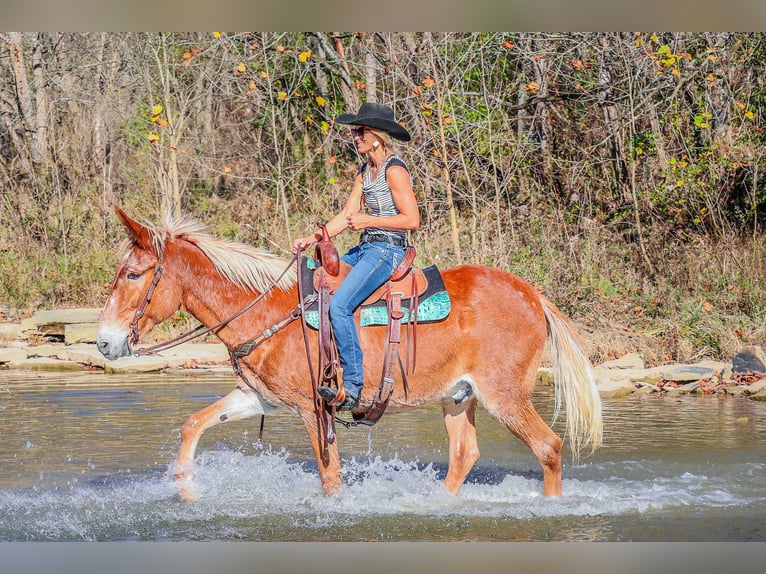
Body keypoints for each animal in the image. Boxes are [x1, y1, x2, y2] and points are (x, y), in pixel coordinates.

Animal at [96, 206, 602, 502]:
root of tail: (533, 295)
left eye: (134, 274)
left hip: (505, 395)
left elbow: (330, 477)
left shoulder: (311, 406)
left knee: (548, 447)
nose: (103, 341)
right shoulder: (258, 398)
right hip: (458, 396)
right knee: (465, 454)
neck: (265, 310)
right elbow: (193, 425)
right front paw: (185, 490)